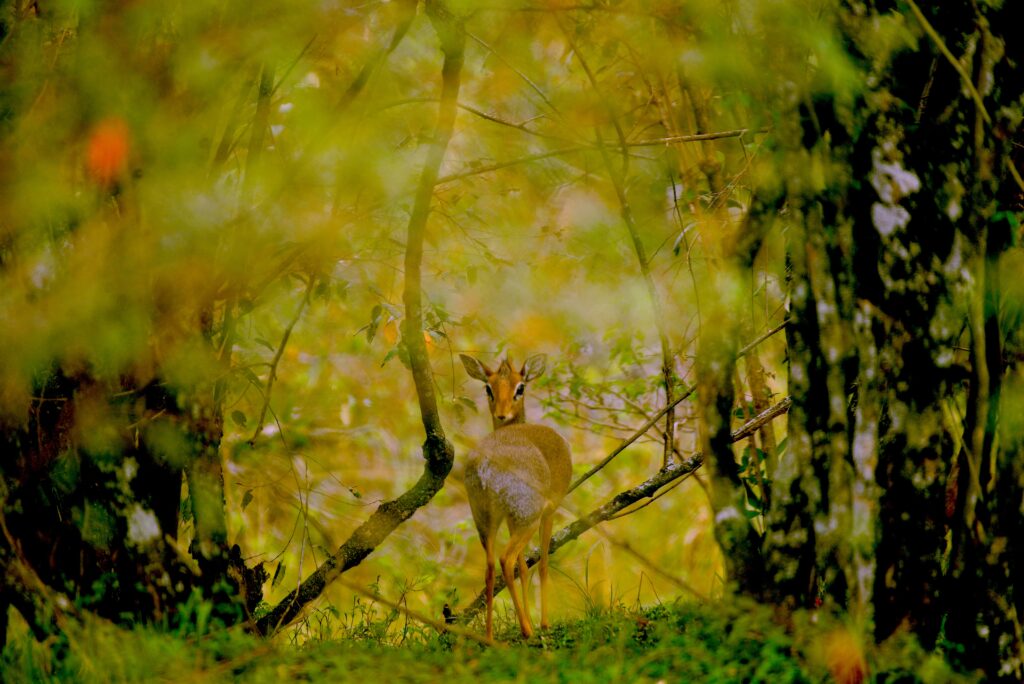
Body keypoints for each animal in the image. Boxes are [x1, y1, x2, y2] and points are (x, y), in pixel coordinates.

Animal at [460, 352, 573, 643]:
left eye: (519, 387)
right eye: (488, 388)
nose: (502, 413)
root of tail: (485, 464)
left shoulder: (511, 520)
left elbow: (524, 568)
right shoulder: (549, 510)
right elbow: (541, 564)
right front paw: (544, 624)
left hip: (485, 519)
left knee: (490, 566)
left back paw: (490, 636)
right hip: (527, 517)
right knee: (505, 560)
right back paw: (527, 630)